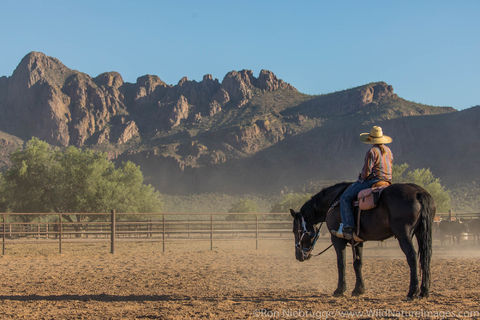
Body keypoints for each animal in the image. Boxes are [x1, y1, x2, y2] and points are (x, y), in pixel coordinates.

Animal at [290, 182, 436, 300]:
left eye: (295, 230)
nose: (298, 256)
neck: (334, 202)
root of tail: (418, 193)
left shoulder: (338, 240)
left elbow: (341, 263)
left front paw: (339, 290)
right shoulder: (358, 241)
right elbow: (357, 263)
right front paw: (358, 290)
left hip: (404, 235)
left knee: (412, 257)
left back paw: (412, 292)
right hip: (421, 233)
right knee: (425, 258)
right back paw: (424, 292)